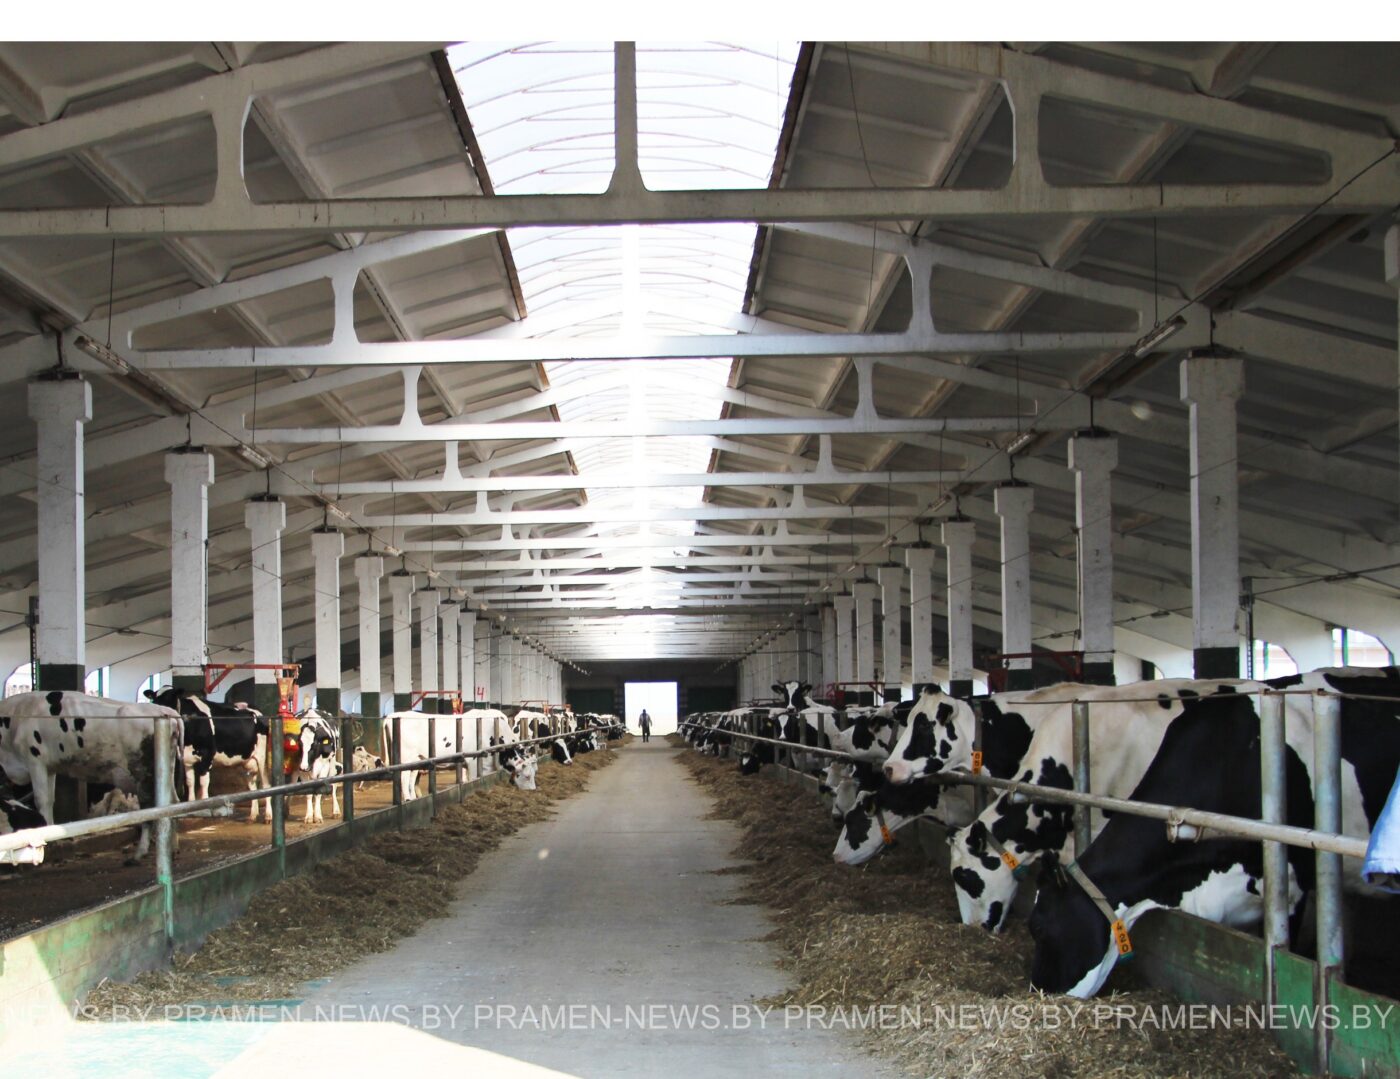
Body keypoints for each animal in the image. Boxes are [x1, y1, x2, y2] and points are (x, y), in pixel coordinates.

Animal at [0, 690, 186, 861]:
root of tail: (166, 711)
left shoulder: (35, 761)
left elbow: (41, 800)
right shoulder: (49, 767)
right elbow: (50, 800)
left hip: (143, 772)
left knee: (150, 808)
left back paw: (140, 852)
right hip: (165, 769)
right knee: (173, 802)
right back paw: (173, 848)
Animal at [144, 687, 270, 821]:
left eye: (170, 697)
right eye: (155, 700)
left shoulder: (207, 756)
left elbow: (203, 783)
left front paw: (204, 807)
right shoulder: (186, 760)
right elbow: (190, 782)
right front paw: (191, 806)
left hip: (262, 756)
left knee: (266, 784)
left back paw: (268, 816)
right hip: (247, 760)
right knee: (252, 785)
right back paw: (253, 815)